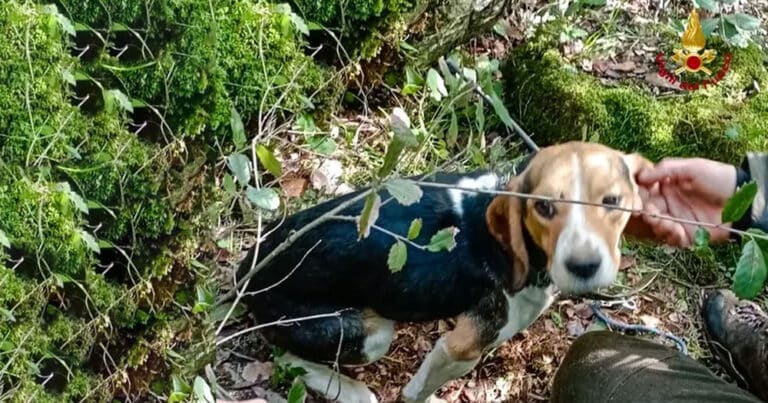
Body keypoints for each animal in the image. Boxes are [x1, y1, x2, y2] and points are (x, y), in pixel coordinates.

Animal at [237, 142, 652, 403]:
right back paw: (353, 393)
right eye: (544, 207)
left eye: (612, 201)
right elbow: (417, 392)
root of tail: (246, 274)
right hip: (369, 335)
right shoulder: (462, 348)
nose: (584, 267)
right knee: (285, 358)